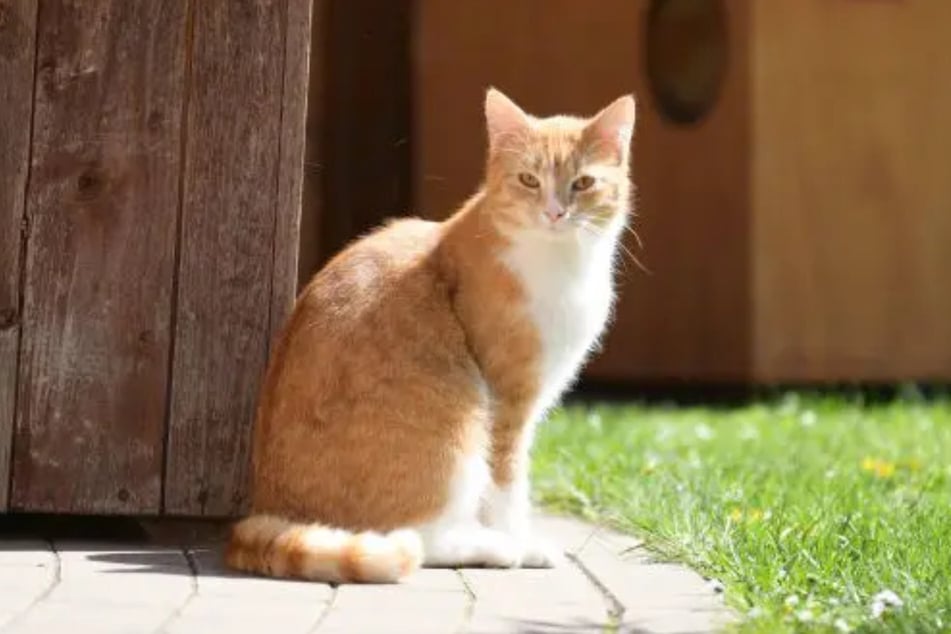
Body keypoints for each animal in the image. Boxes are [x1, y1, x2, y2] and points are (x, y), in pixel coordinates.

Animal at [226, 86, 636, 580]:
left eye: (583, 183)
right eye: (529, 180)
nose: (555, 212)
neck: (564, 263)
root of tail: (268, 511)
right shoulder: (508, 402)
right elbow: (507, 485)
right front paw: (521, 539)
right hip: (459, 433)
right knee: (420, 538)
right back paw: (498, 548)